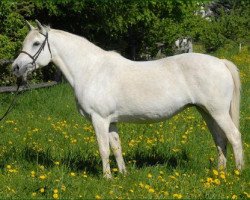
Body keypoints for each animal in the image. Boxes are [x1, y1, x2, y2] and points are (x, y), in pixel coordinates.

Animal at [12, 20, 244, 178]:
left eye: (36, 43)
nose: (16, 67)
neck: (91, 69)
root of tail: (220, 62)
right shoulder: (111, 121)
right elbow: (116, 147)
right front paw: (122, 174)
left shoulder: (99, 119)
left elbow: (103, 149)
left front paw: (107, 178)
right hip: (206, 111)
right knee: (220, 139)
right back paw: (219, 173)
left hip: (218, 112)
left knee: (234, 136)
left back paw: (237, 173)